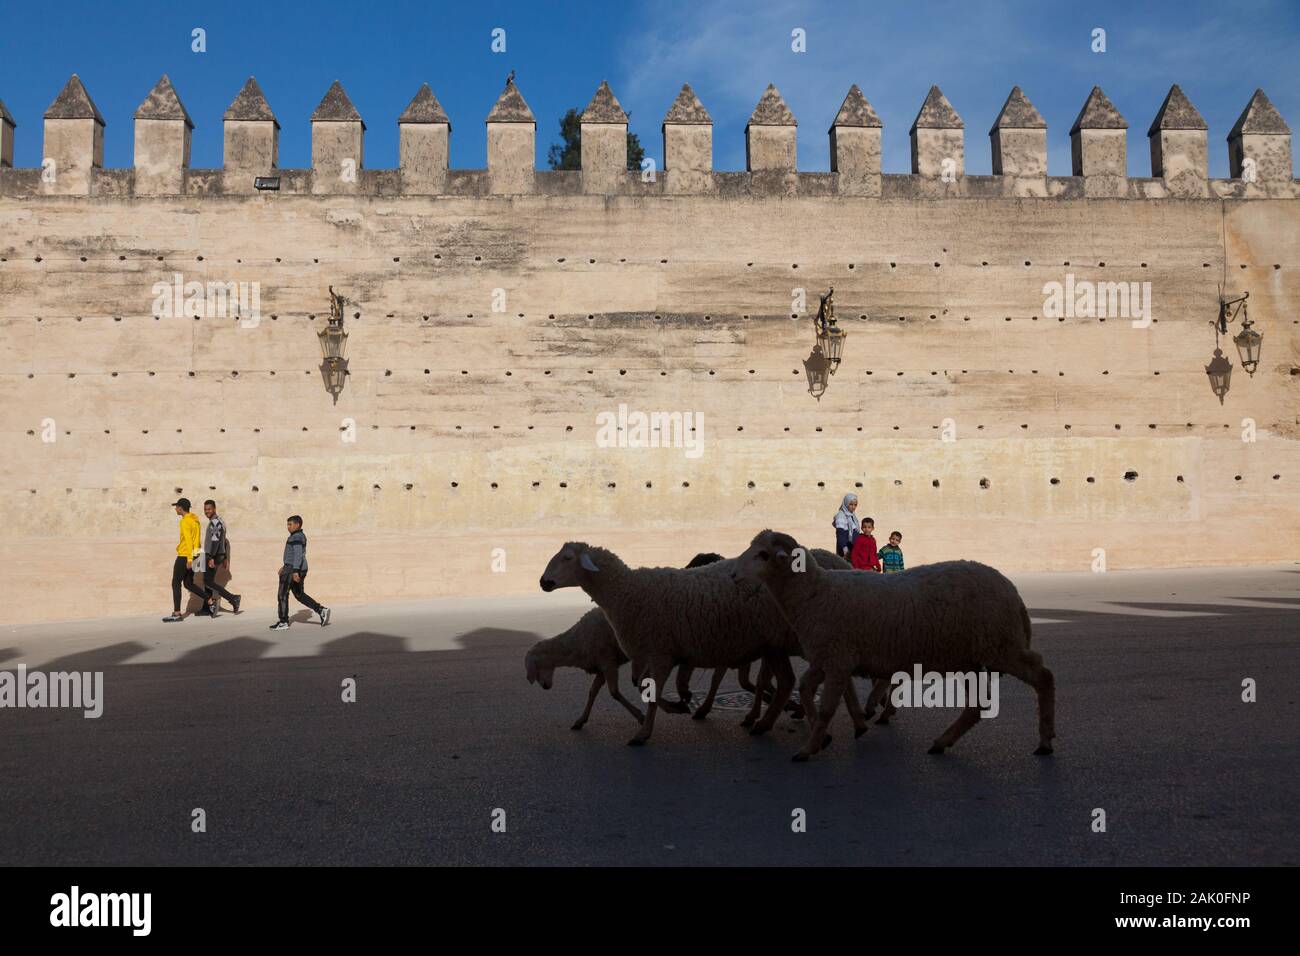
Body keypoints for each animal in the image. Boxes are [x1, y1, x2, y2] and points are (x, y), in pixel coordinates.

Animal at [538, 541, 873, 743]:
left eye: (566, 558)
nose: (543, 582)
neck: (628, 592)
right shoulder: (660, 654)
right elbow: (648, 687)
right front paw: (679, 705)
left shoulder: (660, 653)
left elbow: (653, 693)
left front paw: (646, 731)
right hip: (780, 643)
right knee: (805, 680)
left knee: (808, 679)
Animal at [738, 530, 1050, 764]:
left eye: (763, 554)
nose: (734, 575)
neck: (814, 594)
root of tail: (1011, 589)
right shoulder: (827, 658)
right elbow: (804, 688)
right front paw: (820, 735)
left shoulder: (837, 659)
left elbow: (826, 707)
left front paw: (808, 748)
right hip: (972, 656)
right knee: (977, 705)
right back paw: (942, 742)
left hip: (1000, 645)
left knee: (1043, 676)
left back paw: (1045, 742)